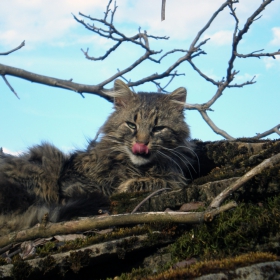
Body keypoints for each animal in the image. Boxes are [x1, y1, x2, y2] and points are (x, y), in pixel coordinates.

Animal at [0, 79, 192, 234]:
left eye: (158, 128)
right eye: (131, 125)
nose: (142, 143)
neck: (136, 168)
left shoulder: (173, 176)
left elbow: (161, 181)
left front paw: (130, 185)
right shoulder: (73, 181)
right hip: (48, 159)